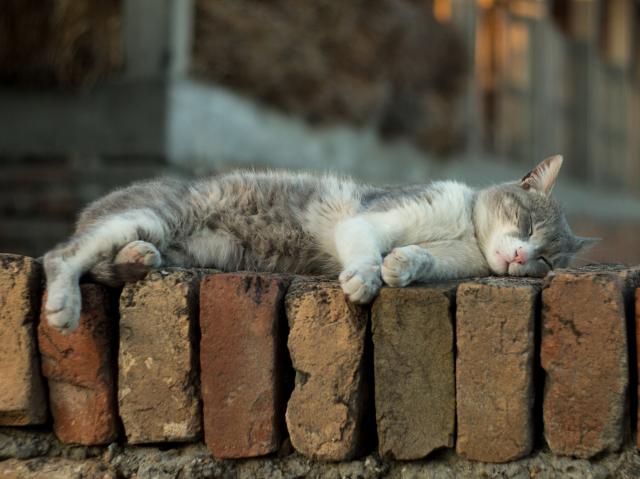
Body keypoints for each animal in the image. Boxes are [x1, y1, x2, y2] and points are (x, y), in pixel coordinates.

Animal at [43, 156, 596, 332]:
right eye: (528, 224)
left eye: (546, 260)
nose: (522, 256)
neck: (465, 233)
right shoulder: (370, 218)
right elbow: (366, 249)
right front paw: (366, 278)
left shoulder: (453, 258)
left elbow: (420, 258)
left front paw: (401, 266)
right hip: (152, 214)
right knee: (61, 256)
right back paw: (64, 305)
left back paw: (139, 260)